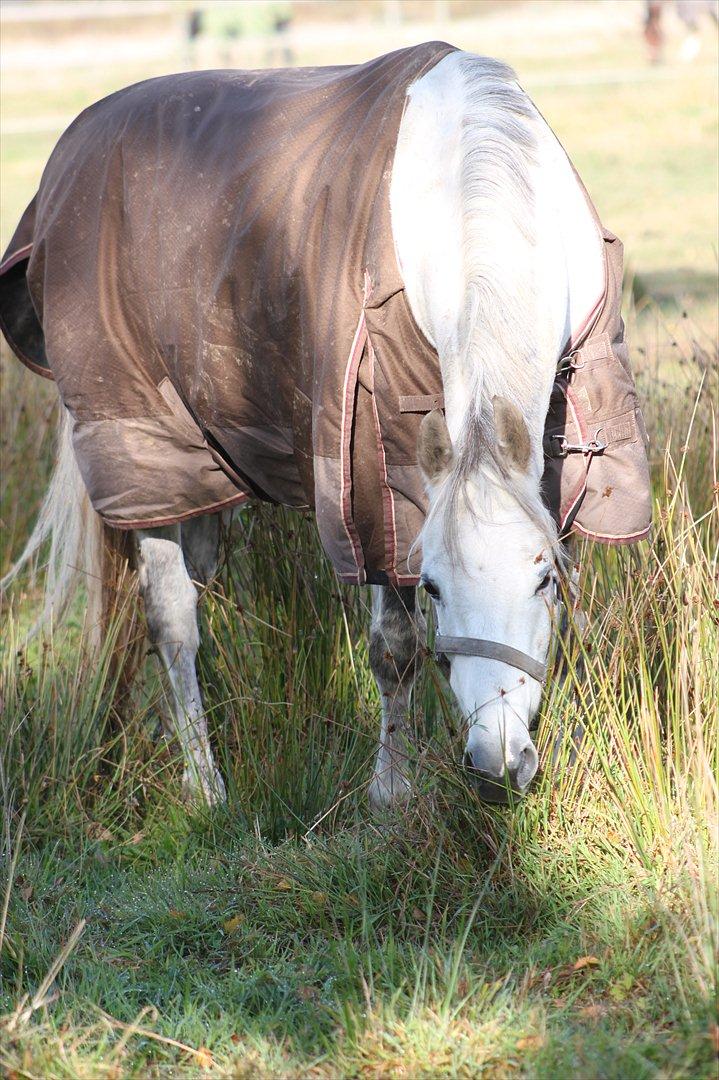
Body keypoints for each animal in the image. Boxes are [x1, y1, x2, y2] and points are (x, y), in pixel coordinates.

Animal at [0, 50, 643, 812]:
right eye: (433, 587)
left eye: (542, 580)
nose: (496, 764)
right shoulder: (376, 493)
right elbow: (394, 646)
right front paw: (391, 791)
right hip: (144, 456)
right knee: (172, 619)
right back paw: (205, 785)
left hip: (207, 477)